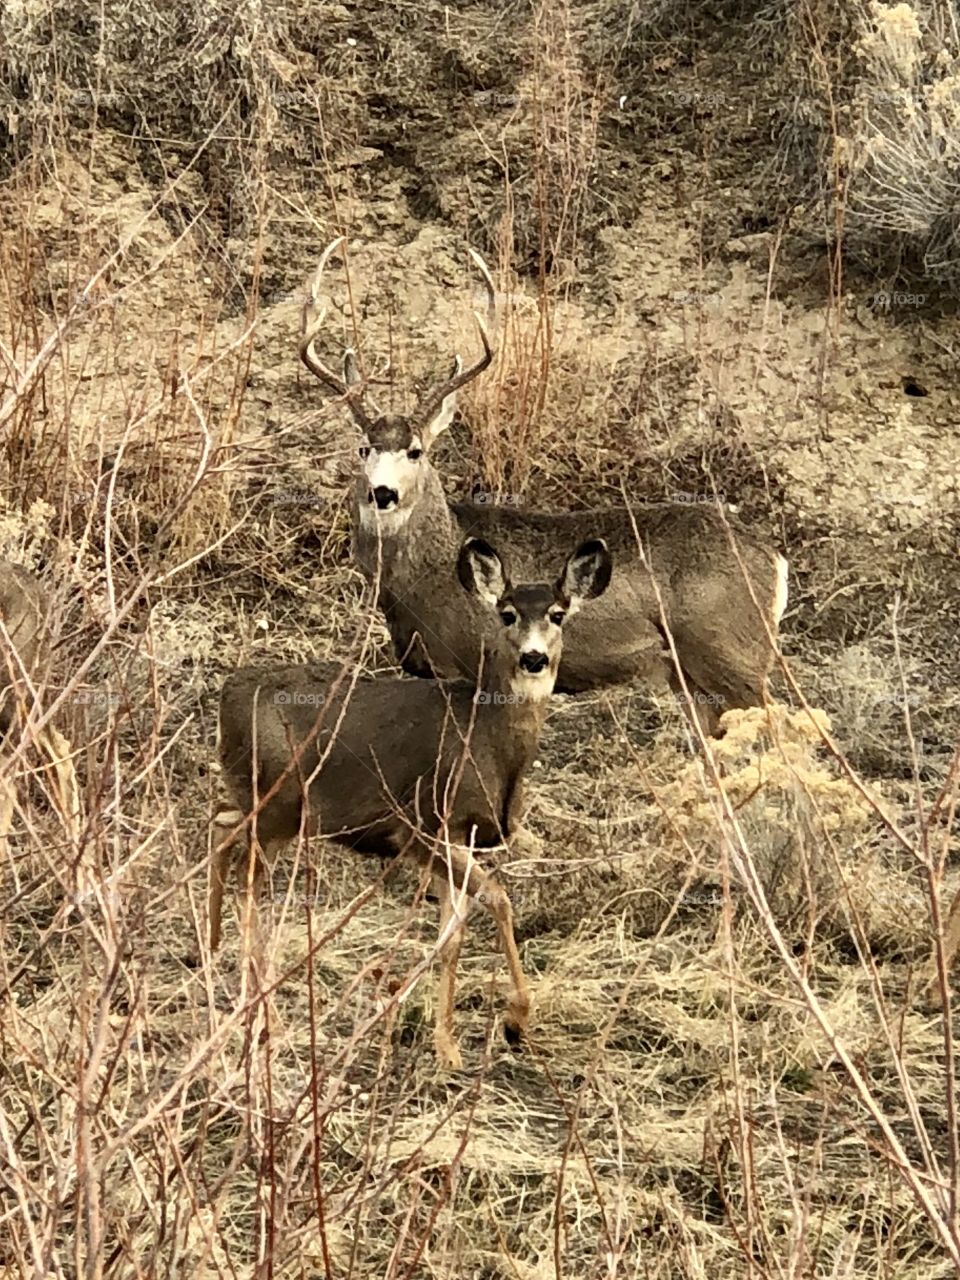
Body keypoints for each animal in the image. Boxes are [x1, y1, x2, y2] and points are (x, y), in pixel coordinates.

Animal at [211, 534, 612, 1068]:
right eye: (507, 613)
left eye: (558, 614)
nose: (533, 658)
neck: (486, 739)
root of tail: (227, 693)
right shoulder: (420, 824)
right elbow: (497, 899)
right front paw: (514, 1020)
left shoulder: (460, 833)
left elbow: (453, 932)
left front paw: (445, 1045)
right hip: (279, 803)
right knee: (248, 881)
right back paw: (265, 1018)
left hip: (262, 802)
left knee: (220, 822)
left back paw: (213, 952)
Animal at [298, 237, 789, 739]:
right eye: (364, 448)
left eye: (416, 451)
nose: (382, 492)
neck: (426, 573)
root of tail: (773, 558)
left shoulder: (470, 660)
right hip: (693, 674)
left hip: (732, 653)